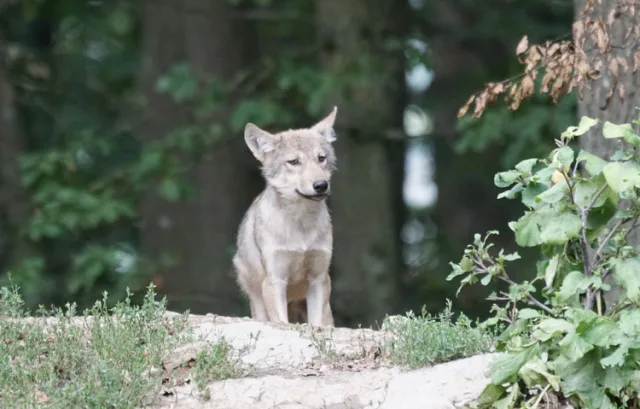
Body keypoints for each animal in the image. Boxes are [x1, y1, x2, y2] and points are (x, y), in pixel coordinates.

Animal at [231, 107, 340, 326]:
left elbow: (316, 324)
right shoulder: (275, 280)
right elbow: (281, 321)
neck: (301, 225)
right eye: (294, 162)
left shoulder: (319, 279)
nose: (321, 185)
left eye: (321, 158)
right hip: (258, 300)